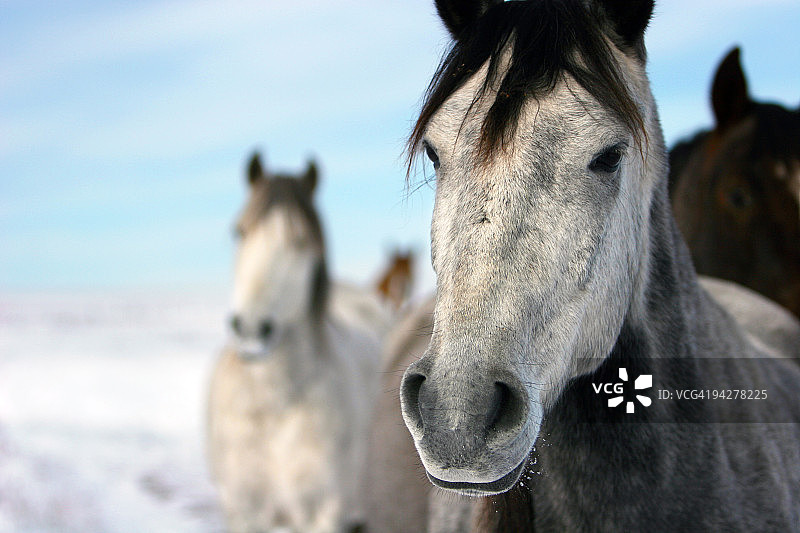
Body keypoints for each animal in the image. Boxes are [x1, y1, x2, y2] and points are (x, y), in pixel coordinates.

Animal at [207, 153, 389, 533]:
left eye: (302, 241)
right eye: (239, 231)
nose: (251, 329)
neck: (275, 402)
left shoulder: (326, 512)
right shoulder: (244, 513)